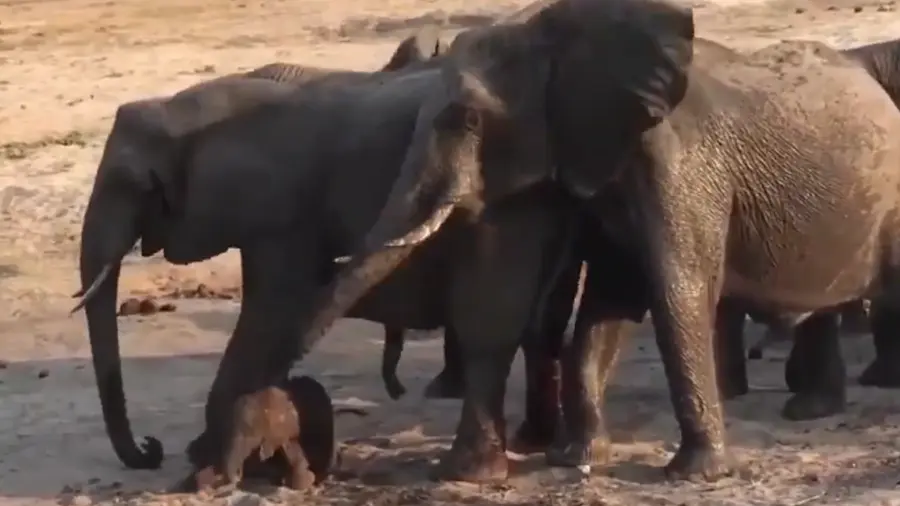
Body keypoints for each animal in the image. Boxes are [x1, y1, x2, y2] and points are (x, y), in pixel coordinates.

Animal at [288, 0, 900, 482]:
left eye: (466, 120)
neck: (559, 27)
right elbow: (610, 301)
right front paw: (577, 458)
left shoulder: (681, 161)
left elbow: (677, 289)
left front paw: (694, 474)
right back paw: (811, 410)